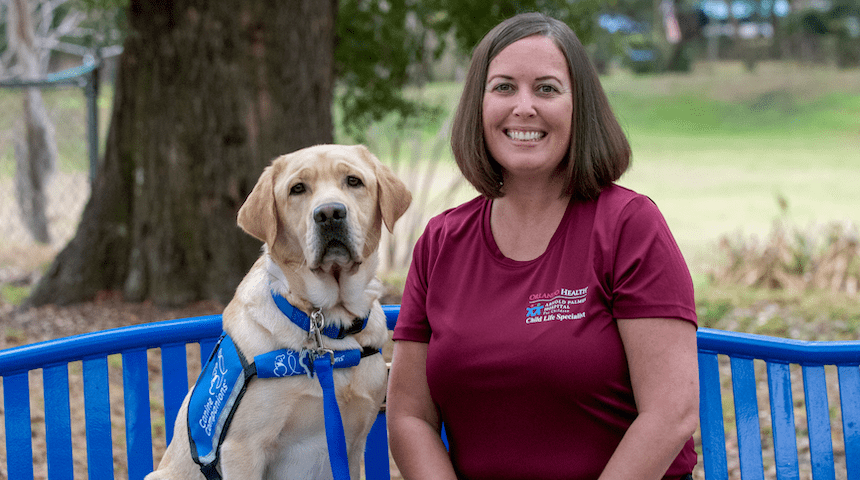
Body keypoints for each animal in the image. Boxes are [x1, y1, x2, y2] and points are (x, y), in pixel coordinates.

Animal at [146, 145, 412, 480]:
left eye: (354, 181)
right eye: (297, 189)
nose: (329, 213)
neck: (325, 323)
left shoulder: (351, 445)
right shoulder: (242, 448)